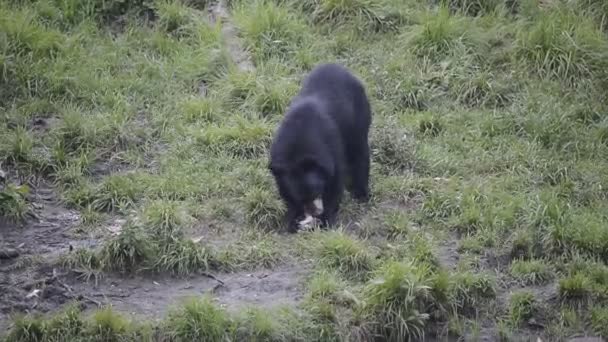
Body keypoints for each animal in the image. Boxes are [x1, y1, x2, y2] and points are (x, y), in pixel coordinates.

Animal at [270, 63, 370, 232]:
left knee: (360, 151)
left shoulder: (331, 148)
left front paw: (326, 220)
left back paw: (361, 194)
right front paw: (290, 220)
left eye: (316, 191)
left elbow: (335, 182)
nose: (315, 212)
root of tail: (339, 67)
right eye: (301, 199)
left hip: (359, 116)